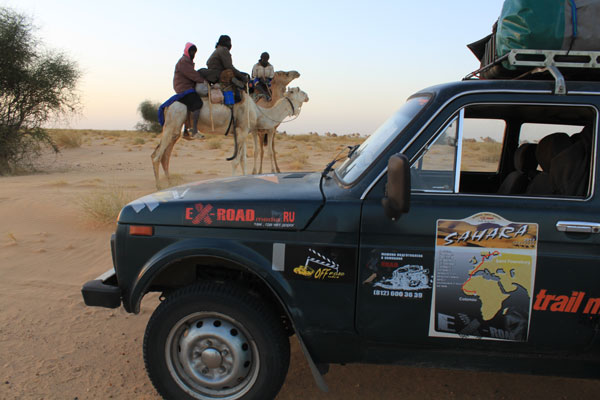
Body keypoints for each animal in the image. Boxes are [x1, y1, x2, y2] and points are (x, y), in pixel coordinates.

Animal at [151, 86, 308, 188]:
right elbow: (235, 161)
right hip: (173, 121)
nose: (307, 95)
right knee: (157, 156)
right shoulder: (242, 131)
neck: (258, 112)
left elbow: (243, 161)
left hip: (176, 128)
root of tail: (167, 105)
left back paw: (170, 184)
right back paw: (159, 186)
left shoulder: (243, 132)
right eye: (298, 90)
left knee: (164, 155)